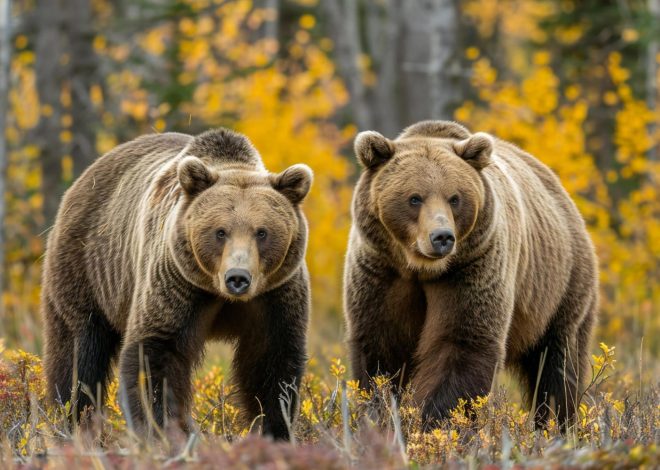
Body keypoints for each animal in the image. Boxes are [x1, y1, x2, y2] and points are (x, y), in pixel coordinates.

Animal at [42, 126, 314, 438]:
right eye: (220, 232)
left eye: (262, 232)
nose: (237, 278)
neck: (219, 294)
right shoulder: (176, 284)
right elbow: (155, 356)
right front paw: (166, 430)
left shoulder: (274, 296)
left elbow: (271, 363)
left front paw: (275, 429)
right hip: (87, 270)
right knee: (79, 351)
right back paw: (73, 420)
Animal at [346, 120, 600, 430]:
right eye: (414, 198)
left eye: (454, 198)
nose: (442, 237)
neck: (420, 269)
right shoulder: (382, 273)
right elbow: (380, 348)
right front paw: (380, 416)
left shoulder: (471, 269)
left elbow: (462, 343)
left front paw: (437, 422)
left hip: (561, 285)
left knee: (558, 363)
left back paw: (557, 425)